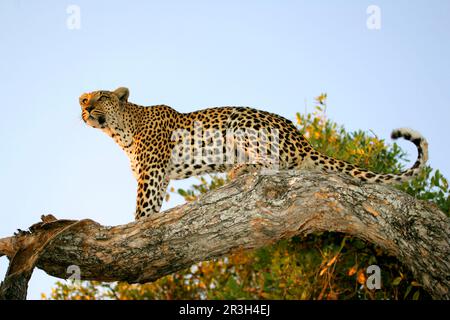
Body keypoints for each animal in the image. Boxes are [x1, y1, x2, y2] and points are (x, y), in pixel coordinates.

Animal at [79, 89, 428, 221]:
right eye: (84, 98)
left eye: (102, 96)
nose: (86, 108)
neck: (120, 130)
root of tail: (302, 139)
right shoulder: (160, 175)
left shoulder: (151, 172)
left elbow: (143, 208)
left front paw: (137, 227)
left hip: (241, 123)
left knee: (273, 165)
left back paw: (241, 171)